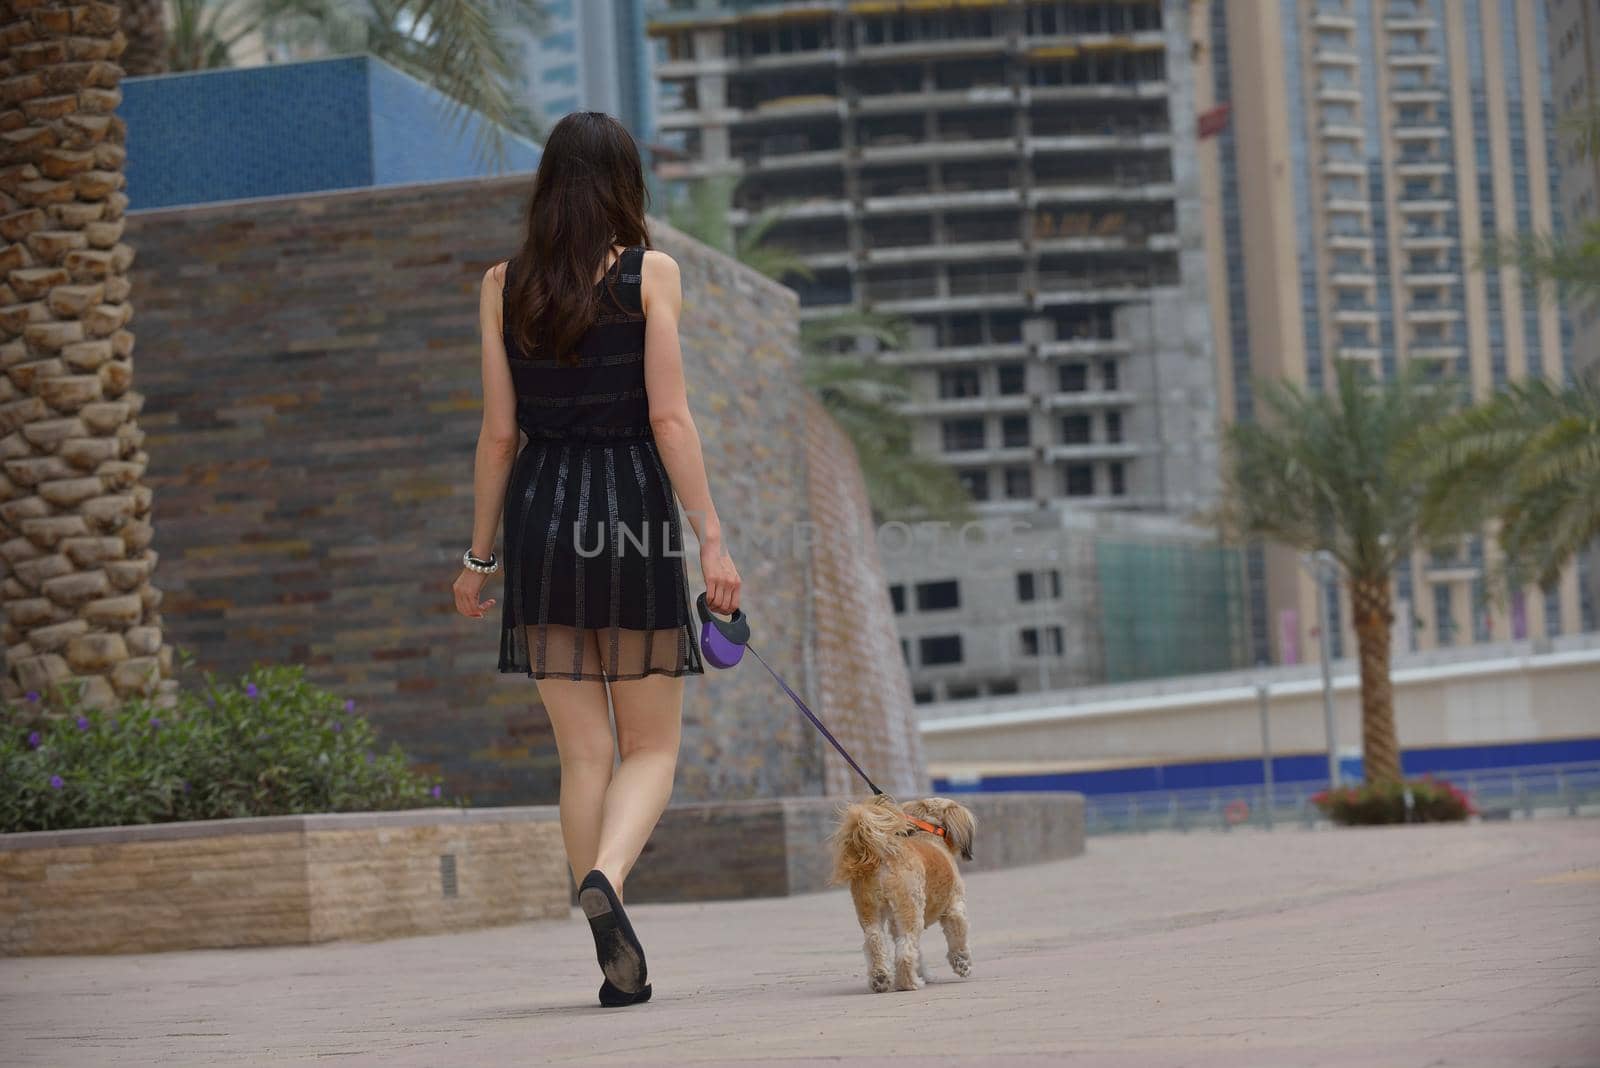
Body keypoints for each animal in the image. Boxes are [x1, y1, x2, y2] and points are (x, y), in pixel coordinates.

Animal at [825, 793, 972, 991]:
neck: (930, 835)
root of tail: (885, 858)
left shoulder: (895, 923)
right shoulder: (954, 908)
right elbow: (958, 938)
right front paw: (962, 964)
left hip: (869, 909)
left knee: (874, 941)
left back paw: (880, 978)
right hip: (911, 909)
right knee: (905, 950)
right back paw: (909, 983)